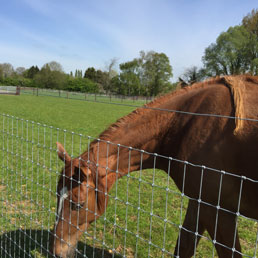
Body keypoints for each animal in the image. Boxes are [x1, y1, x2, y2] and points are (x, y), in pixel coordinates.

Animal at [51, 75, 258, 258]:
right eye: (57, 195)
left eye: (78, 205)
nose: (57, 252)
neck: (185, 123)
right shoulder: (199, 202)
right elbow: (184, 247)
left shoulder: (219, 210)